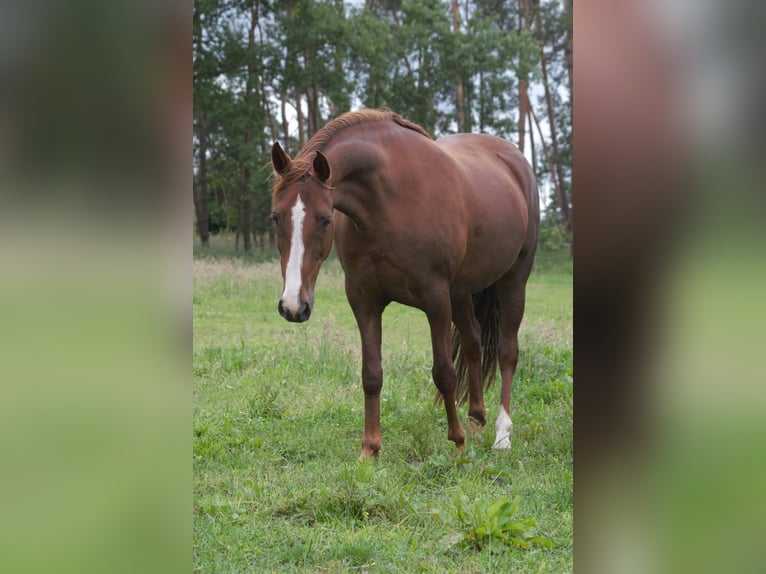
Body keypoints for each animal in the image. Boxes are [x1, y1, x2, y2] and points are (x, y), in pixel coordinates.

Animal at [270, 109, 539, 460]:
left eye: (325, 219)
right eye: (276, 217)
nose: (292, 307)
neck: (387, 204)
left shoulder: (436, 299)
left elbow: (444, 373)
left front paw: (457, 443)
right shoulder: (363, 300)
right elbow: (371, 374)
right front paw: (370, 449)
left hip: (513, 279)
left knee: (507, 351)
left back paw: (501, 435)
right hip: (461, 293)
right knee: (473, 343)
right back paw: (476, 421)